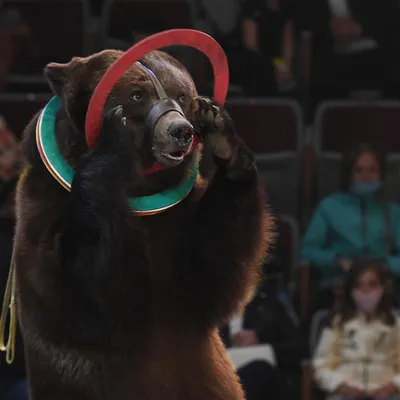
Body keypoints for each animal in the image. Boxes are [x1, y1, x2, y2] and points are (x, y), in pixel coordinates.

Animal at [14, 49, 274, 400]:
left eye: (183, 95)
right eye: (137, 94)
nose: (181, 130)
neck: (142, 192)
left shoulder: (180, 222)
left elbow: (215, 272)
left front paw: (220, 131)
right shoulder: (42, 213)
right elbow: (89, 292)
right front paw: (115, 136)